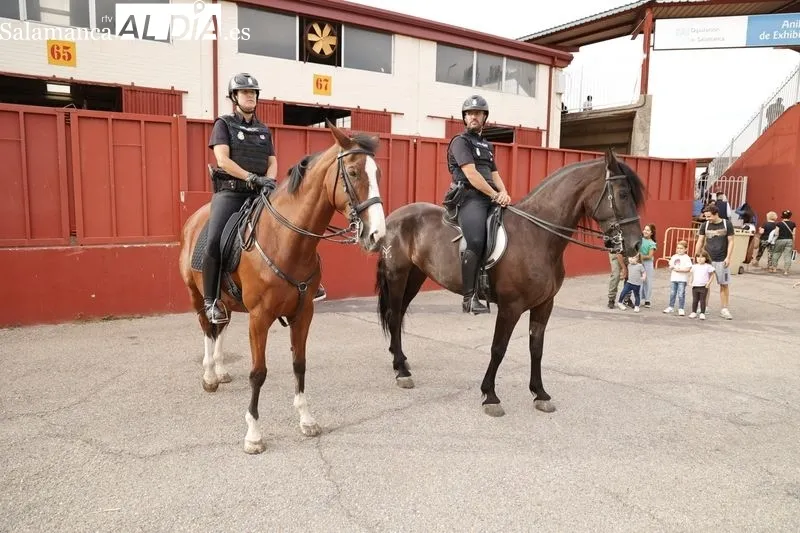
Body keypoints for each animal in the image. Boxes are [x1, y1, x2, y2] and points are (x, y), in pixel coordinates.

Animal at [178, 123, 386, 454]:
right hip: (197, 296)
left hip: (226, 302)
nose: (377, 235)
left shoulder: (304, 313)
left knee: (220, 328)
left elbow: (299, 364)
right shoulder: (259, 317)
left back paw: (221, 371)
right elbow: (258, 373)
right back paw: (210, 375)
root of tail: (194, 219)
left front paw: (306, 419)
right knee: (208, 330)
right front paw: (253, 433)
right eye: (353, 172)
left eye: (377, 173)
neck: (287, 241)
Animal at [375, 149, 644, 417]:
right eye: (622, 194)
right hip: (397, 276)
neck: (537, 235)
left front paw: (540, 393)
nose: (636, 244)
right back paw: (402, 371)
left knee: (399, 314)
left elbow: (536, 348)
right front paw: (490, 396)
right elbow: (498, 348)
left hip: (415, 276)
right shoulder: (510, 306)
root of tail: (393, 218)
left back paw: (400, 361)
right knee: (395, 315)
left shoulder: (544, 305)